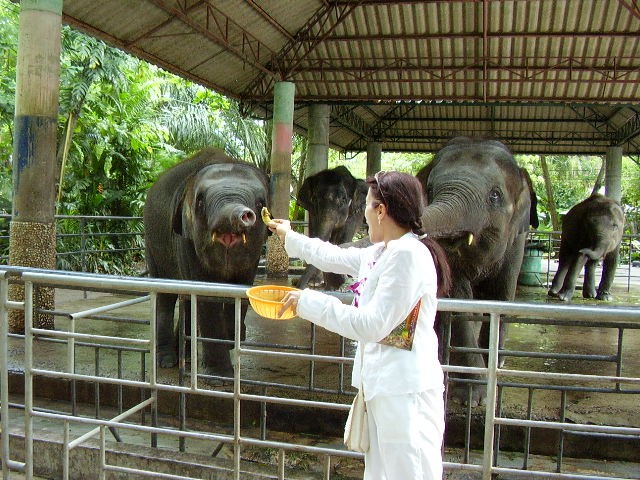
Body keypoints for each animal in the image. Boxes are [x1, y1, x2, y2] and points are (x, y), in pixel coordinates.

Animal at [144, 148, 268, 380]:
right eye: (200, 202)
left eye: (260, 203)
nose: (243, 214)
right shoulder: (185, 238)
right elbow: (205, 295)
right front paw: (220, 378)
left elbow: (241, 289)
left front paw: (231, 339)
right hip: (152, 242)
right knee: (165, 296)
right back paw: (167, 361)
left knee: (185, 298)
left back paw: (186, 356)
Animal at [416, 136, 540, 404]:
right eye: (429, 191)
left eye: (495, 195)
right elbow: (460, 302)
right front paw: (472, 398)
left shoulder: (517, 240)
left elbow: (501, 296)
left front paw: (494, 367)